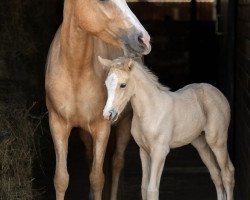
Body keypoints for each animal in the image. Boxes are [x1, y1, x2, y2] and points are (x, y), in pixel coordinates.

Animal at [45, 0, 151, 198]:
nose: (144, 39)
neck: (75, 72)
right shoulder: (57, 124)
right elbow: (61, 179)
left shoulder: (102, 127)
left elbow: (97, 178)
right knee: (90, 155)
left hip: (124, 123)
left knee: (117, 162)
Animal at [98, 56, 235, 200]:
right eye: (106, 84)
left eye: (123, 85)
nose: (108, 114)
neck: (151, 110)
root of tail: (219, 94)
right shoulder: (144, 151)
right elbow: (144, 188)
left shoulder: (160, 151)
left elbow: (152, 190)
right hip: (201, 143)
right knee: (216, 174)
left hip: (217, 141)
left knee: (227, 173)